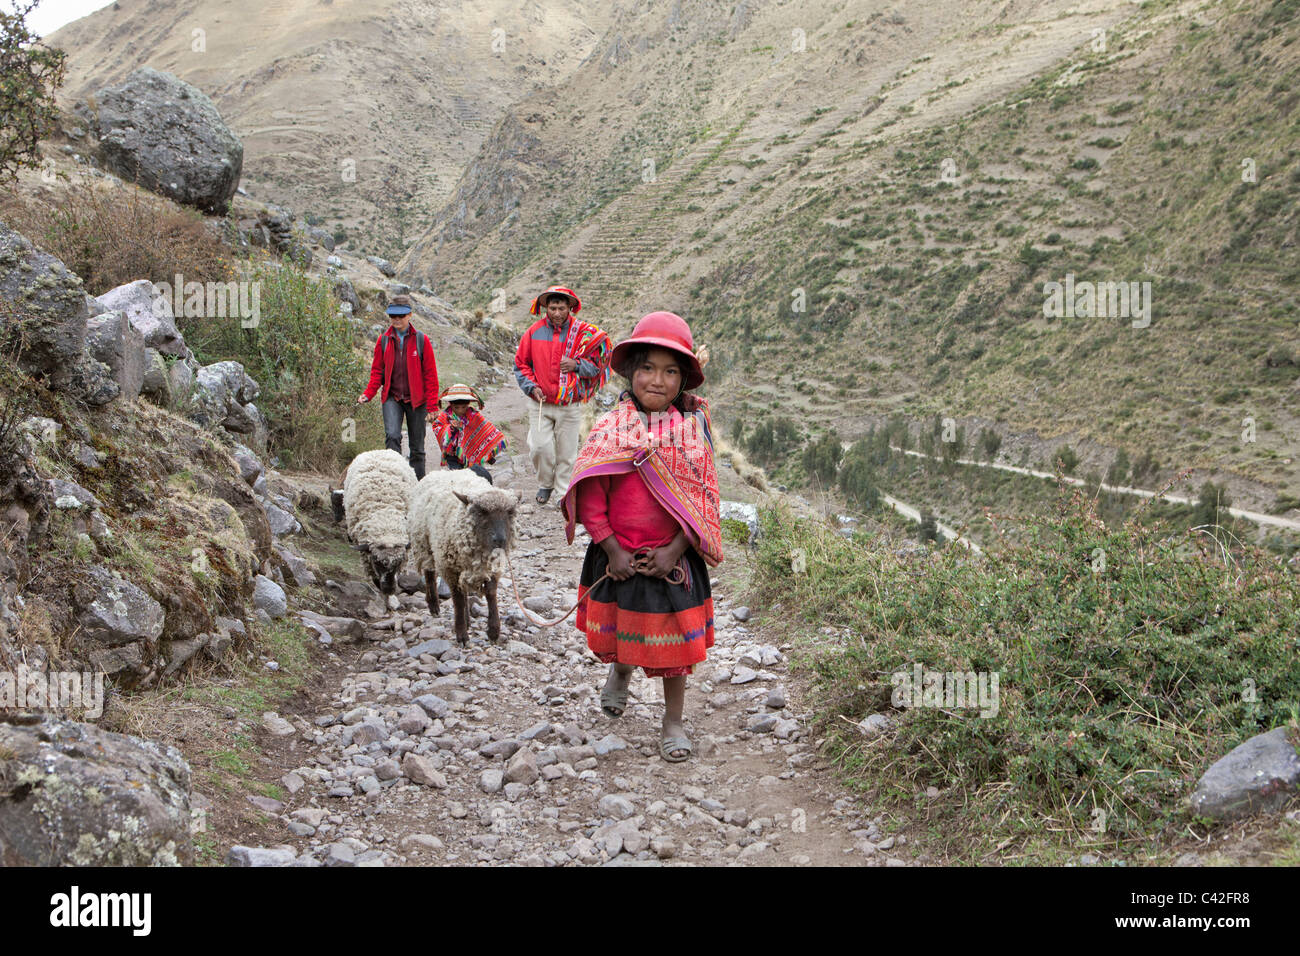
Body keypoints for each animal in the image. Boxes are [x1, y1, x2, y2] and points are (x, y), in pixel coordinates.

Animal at [413, 468, 520, 647]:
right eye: (481, 512)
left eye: (510, 512)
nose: (500, 540)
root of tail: (442, 471)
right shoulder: (449, 567)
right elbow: (457, 599)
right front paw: (461, 634)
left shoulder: (491, 566)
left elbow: (490, 593)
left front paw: (493, 631)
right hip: (424, 542)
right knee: (429, 574)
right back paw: (434, 606)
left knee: (463, 589)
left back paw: (468, 620)